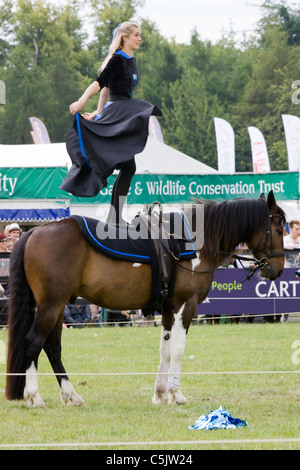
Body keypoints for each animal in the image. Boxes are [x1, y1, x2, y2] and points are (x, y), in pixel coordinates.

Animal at [5, 191, 284, 408]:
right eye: (280, 228)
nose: (278, 269)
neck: (194, 241)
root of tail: (34, 232)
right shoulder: (186, 305)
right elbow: (179, 350)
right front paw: (177, 394)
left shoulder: (169, 309)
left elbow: (165, 350)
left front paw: (161, 394)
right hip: (51, 306)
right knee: (33, 342)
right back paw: (34, 397)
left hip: (58, 306)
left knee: (52, 347)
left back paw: (71, 395)